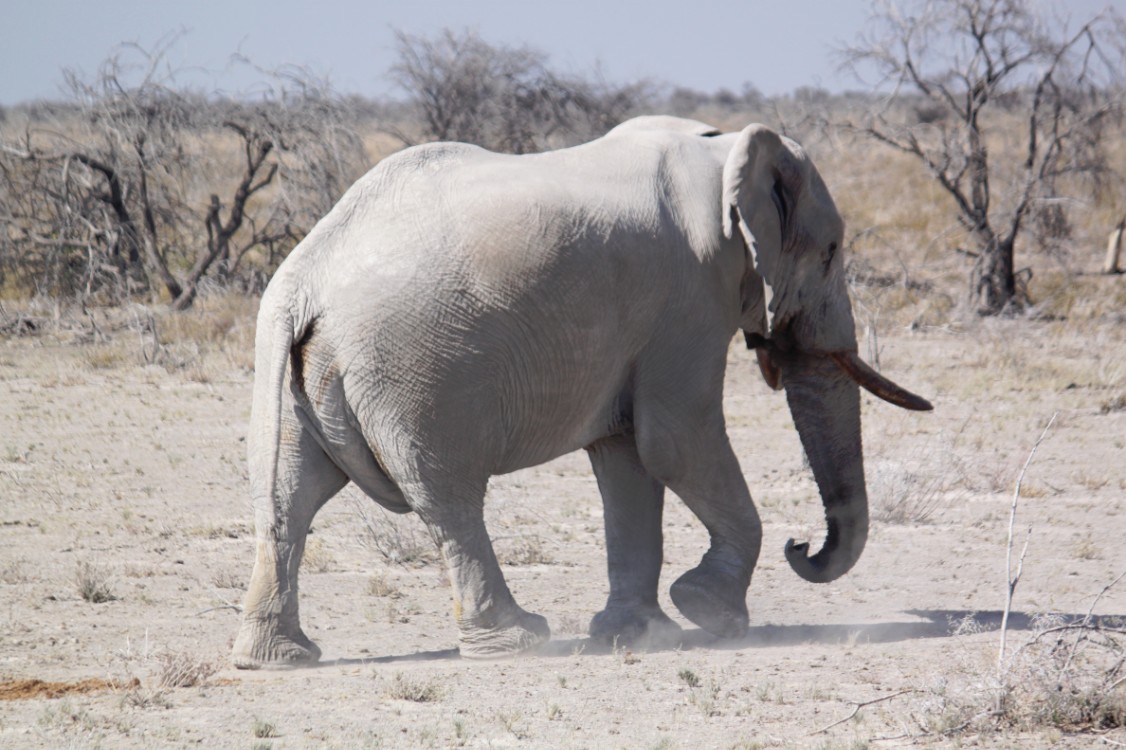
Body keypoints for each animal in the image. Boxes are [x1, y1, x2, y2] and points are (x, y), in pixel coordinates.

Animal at [230, 115, 932, 666]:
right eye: (831, 251)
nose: (803, 545)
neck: (722, 151)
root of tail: (306, 279)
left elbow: (628, 457)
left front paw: (639, 634)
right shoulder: (688, 298)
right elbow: (676, 441)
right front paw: (710, 613)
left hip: (291, 368)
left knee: (287, 497)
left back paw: (278, 658)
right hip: (411, 371)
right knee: (447, 496)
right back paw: (517, 641)